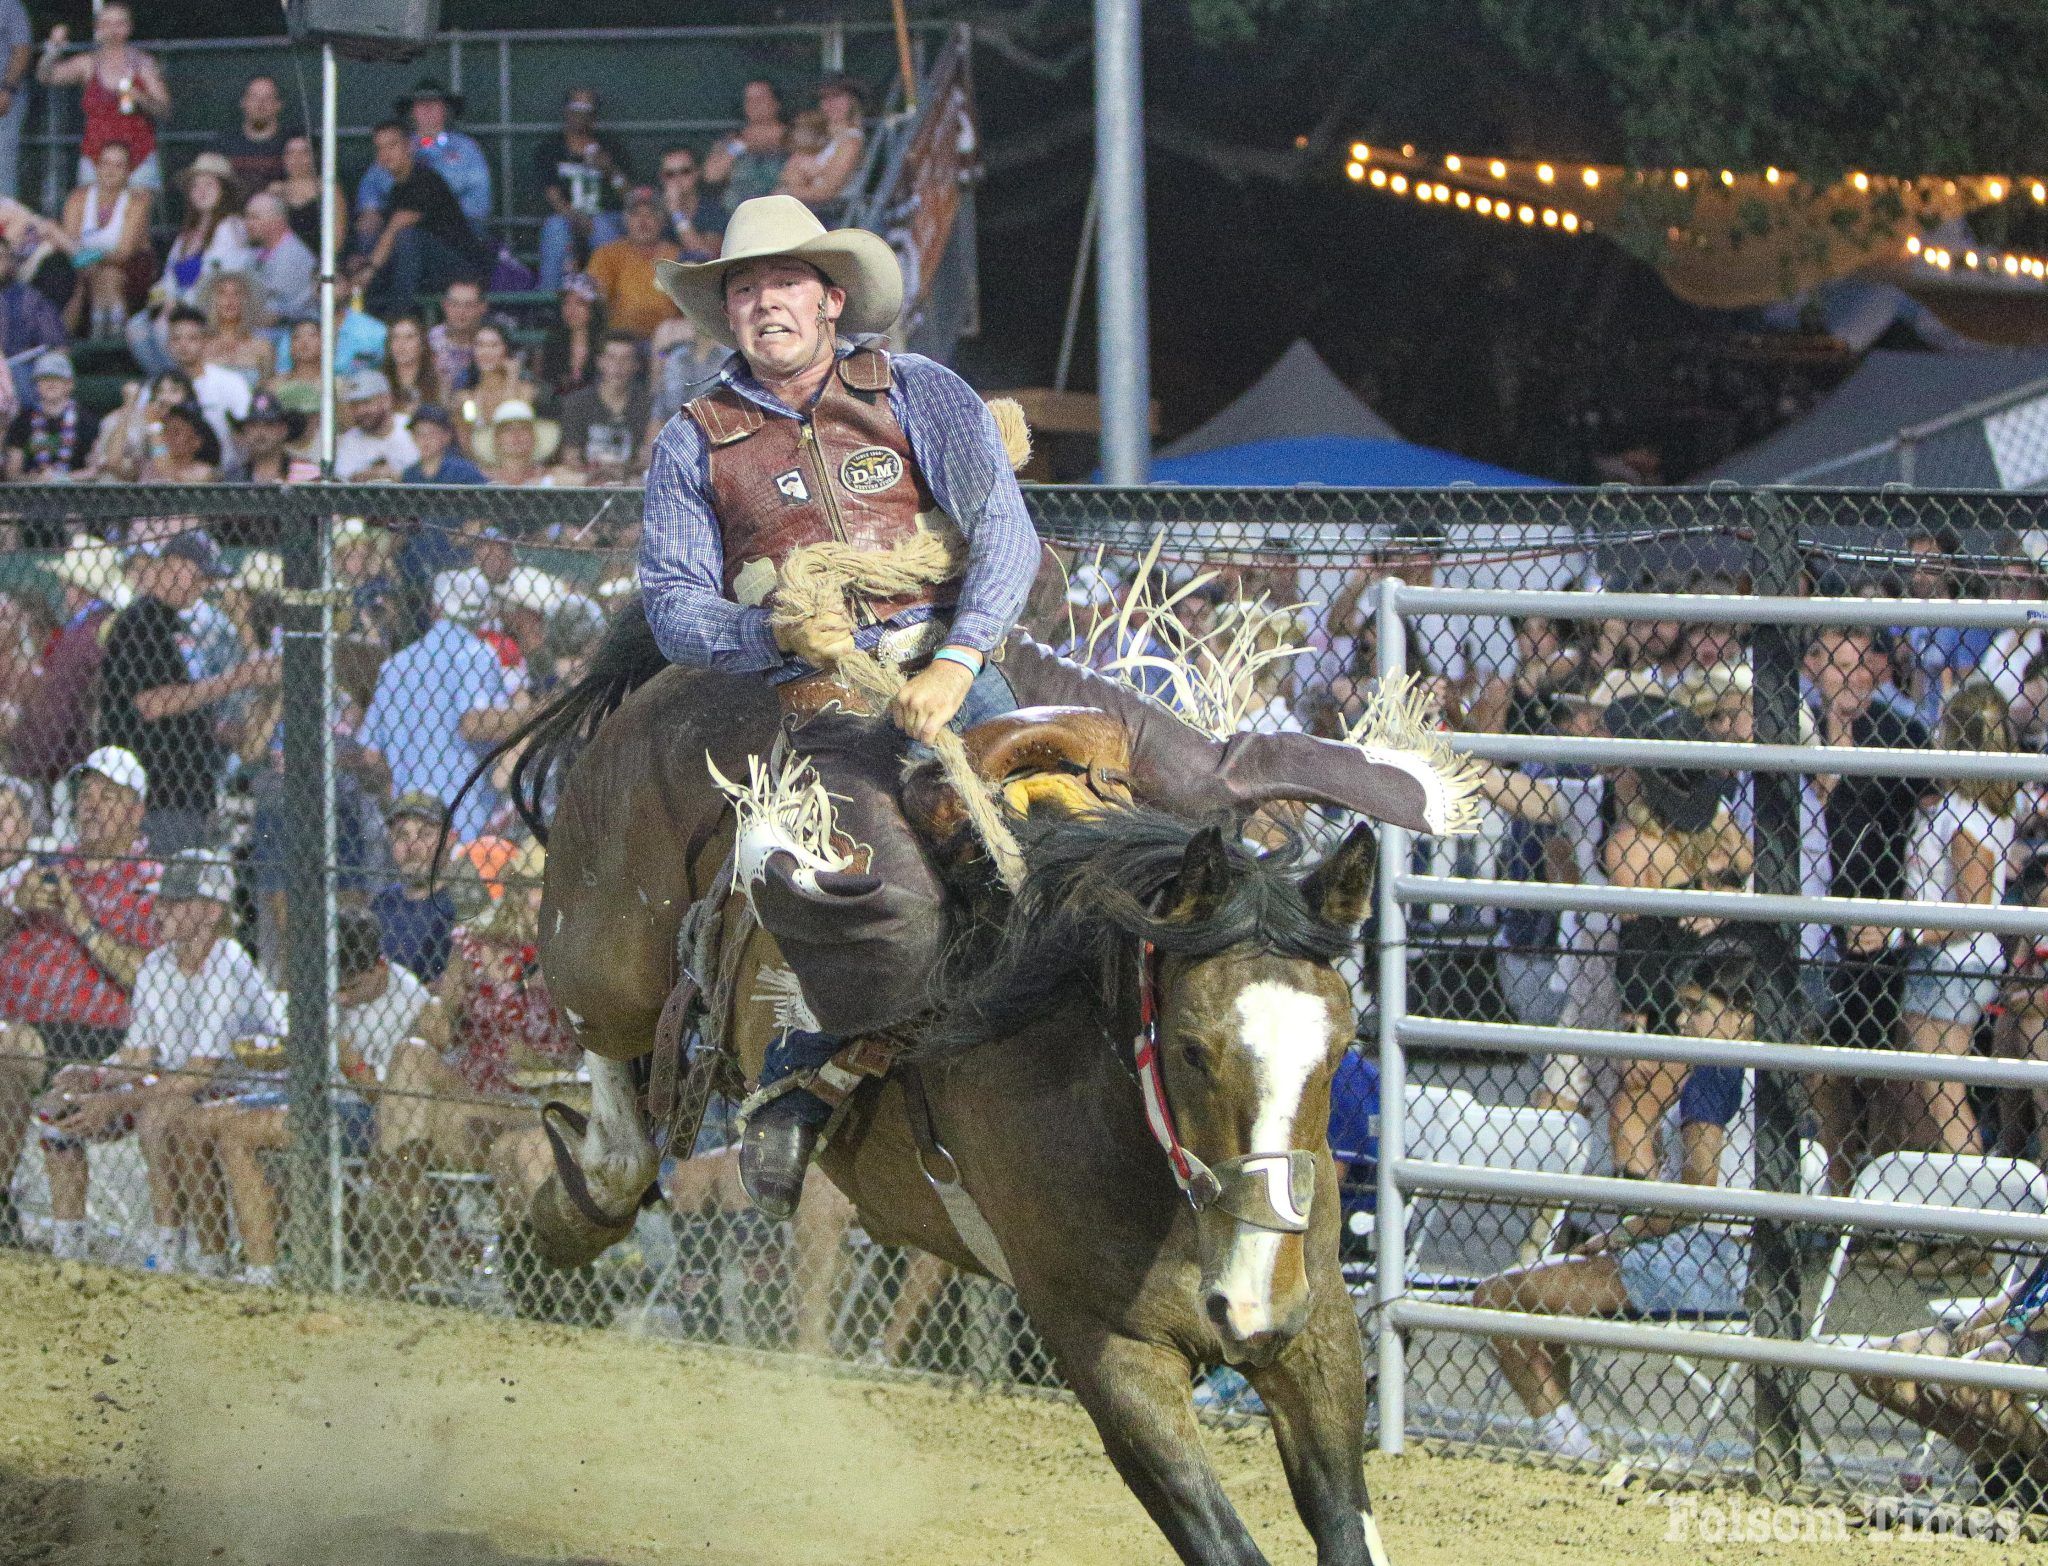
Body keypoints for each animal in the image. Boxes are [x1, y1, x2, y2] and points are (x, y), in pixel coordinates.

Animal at [491, 601, 1392, 1563]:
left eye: (1341, 1046)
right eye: (1190, 1048)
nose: (1256, 1299)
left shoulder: (1320, 1333)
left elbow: (1348, 1527)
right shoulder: (1107, 1352)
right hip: (605, 946)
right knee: (613, 1090)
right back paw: (574, 1209)